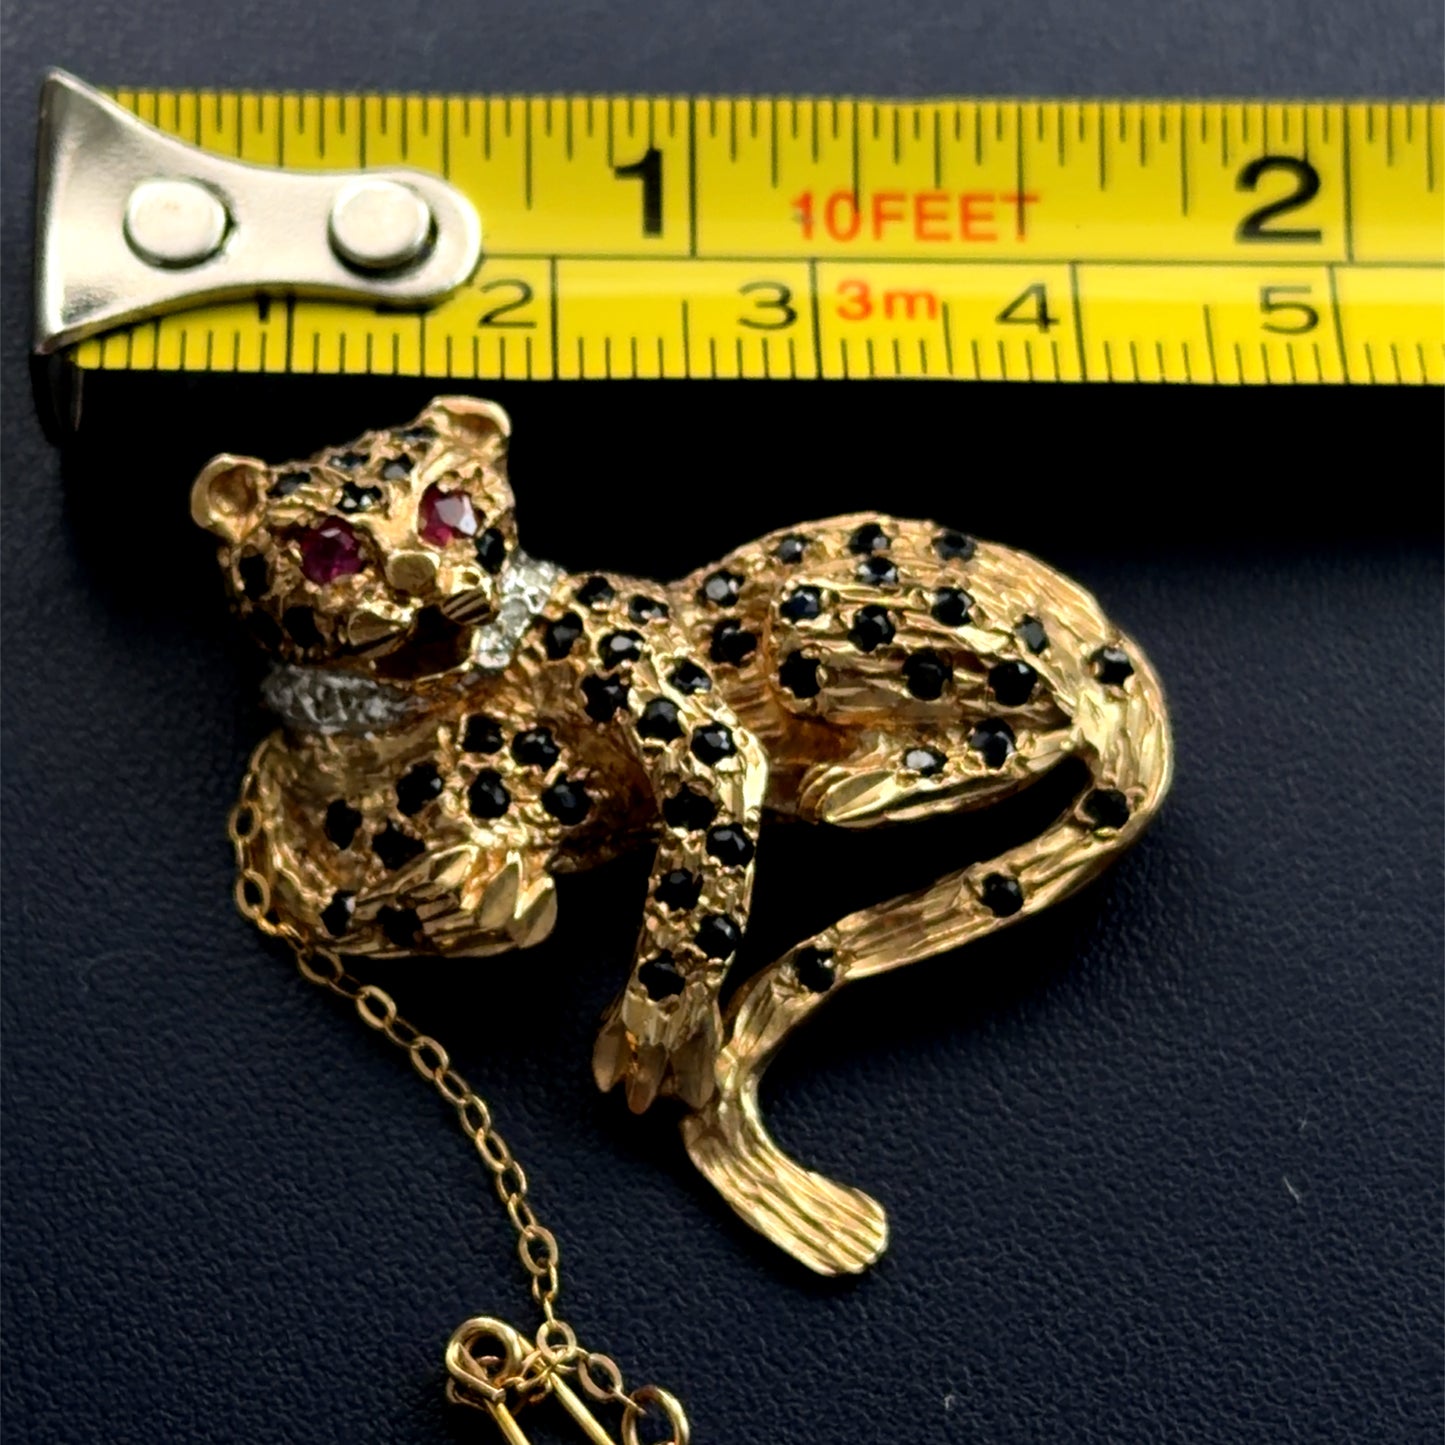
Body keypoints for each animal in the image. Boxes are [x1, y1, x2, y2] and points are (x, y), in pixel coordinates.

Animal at [193, 394, 1173, 1275]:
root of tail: (1090, 623)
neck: (401, 711)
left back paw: (875, 782)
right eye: (325, 550)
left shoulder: (655, 690)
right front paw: (466, 894)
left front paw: (657, 1022)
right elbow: (352, 900)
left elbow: (701, 849)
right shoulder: (298, 822)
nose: (420, 581)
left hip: (821, 618)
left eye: (448, 506)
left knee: (1048, 725)